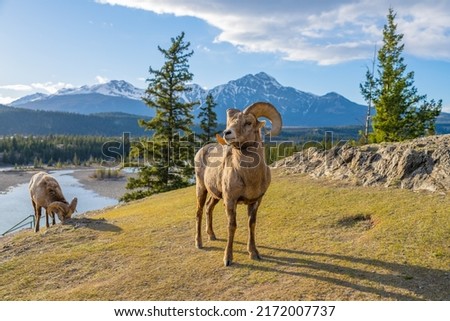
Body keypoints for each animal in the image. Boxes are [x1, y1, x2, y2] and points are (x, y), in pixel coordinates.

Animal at [194, 100, 282, 264]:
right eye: (230, 123)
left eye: (248, 122)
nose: (227, 133)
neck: (249, 178)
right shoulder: (230, 200)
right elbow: (232, 226)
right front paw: (227, 259)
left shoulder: (255, 201)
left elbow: (251, 224)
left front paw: (254, 253)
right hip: (201, 189)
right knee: (199, 212)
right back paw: (199, 243)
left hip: (215, 195)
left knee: (209, 208)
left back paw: (212, 235)